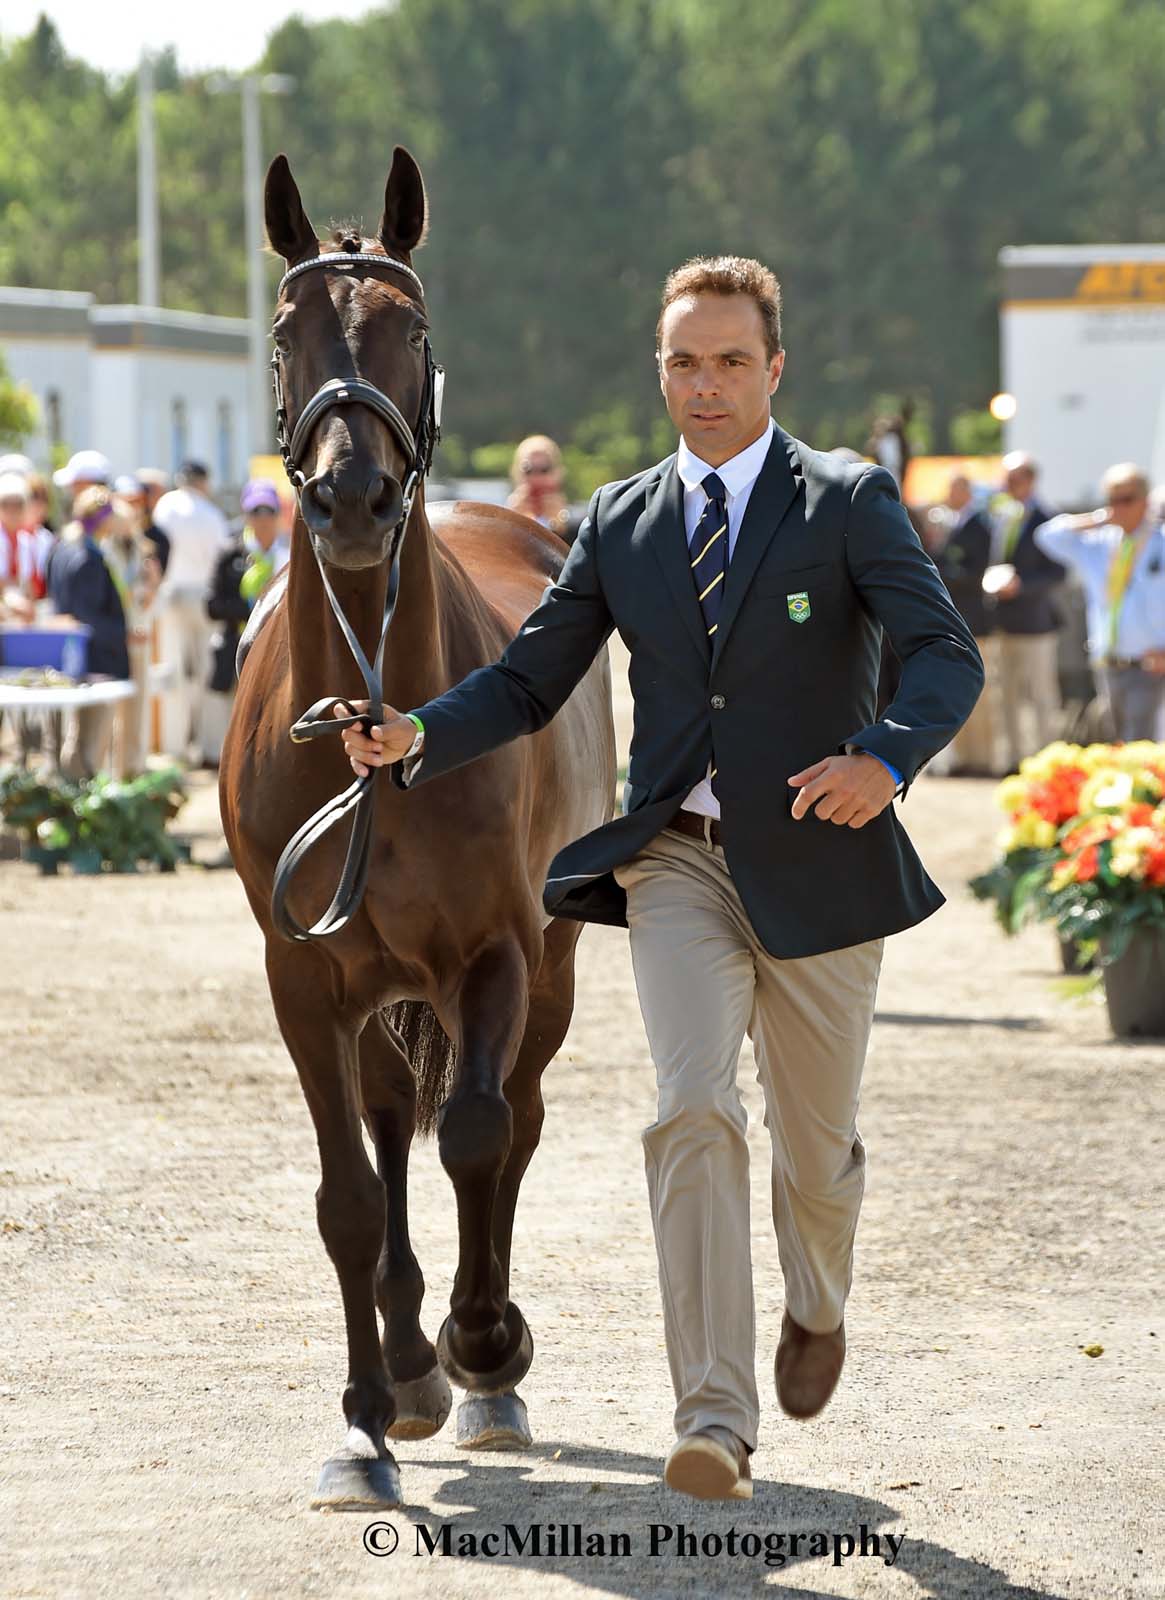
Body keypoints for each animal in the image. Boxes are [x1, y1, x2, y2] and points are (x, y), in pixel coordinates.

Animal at [220, 150, 617, 1510]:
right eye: (284, 334)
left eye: (415, 330)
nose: (353, 495)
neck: (373, 726)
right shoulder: (303, 976)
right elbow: (349, 1190)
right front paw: (365, 1418)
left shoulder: (496, 951)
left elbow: (484, 1136)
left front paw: (485, 1341)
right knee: (397, 1122)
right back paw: (404, 1358)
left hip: (548, 964)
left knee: (511, 1120)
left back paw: (477, 1365)